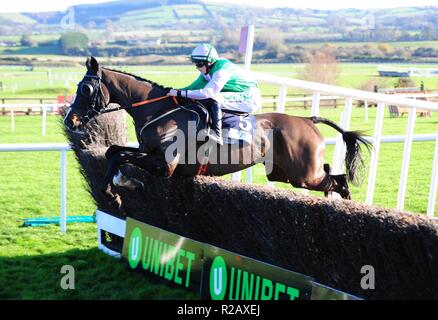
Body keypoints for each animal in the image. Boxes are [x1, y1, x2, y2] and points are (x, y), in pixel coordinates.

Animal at [62, 56, 370, 209]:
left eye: (85, 89)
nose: (70, 120)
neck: (159, 110)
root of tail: (307, 119)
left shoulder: (165, 165)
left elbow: (120, 157)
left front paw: (118, 189)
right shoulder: (150, 152)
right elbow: (114, 152)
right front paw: (121, 184)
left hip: (303, 174)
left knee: (339, 180)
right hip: (284, 172)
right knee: (331, 175)